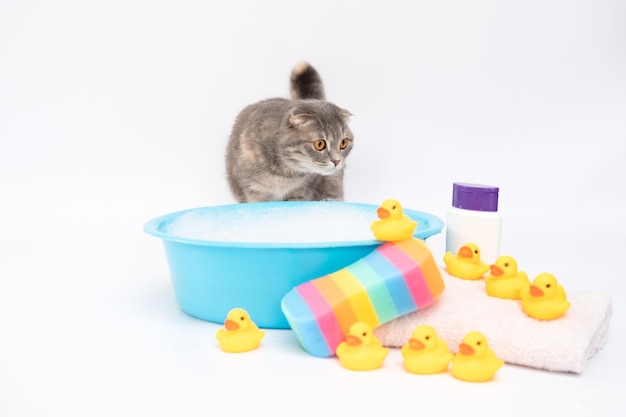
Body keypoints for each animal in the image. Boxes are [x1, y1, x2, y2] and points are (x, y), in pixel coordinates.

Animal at [225, 62, 354, 203]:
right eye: (319, 144)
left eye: (343, 143)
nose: (337, 161)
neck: (285, 174)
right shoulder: (254, 192)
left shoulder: (302, 191)